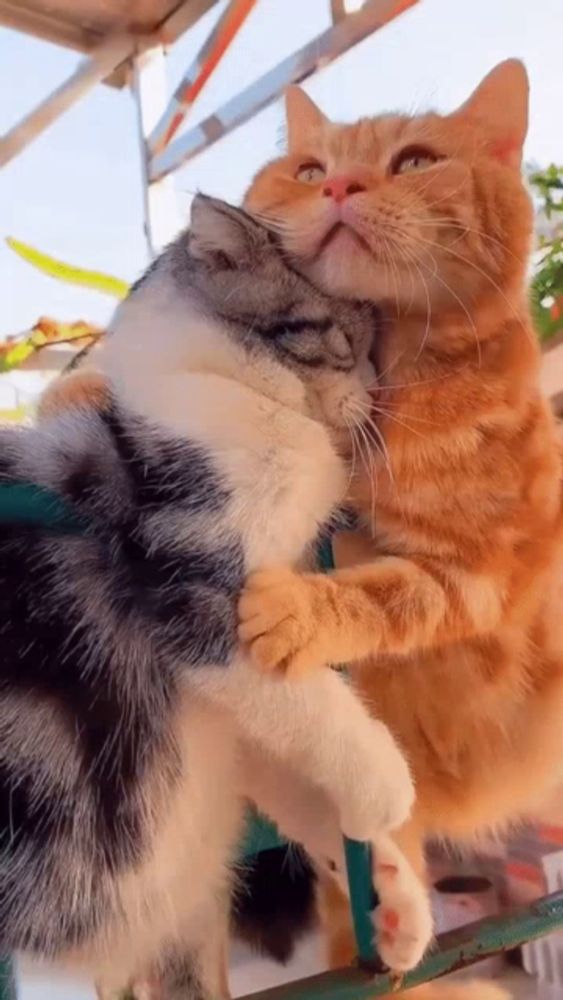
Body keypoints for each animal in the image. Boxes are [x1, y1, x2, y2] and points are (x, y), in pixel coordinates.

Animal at [0, 195, 418, 992]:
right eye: (347, 336)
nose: (382, 388)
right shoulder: (192, 584)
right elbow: (312, 704)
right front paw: (384, 784)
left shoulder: (233, 696)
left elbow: (282, 750)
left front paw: (391, 891)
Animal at [242, 58, 563, 996]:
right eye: (309, 169)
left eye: (415, 162)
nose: (340, 186)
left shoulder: (480, 576)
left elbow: (384, 593)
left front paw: (298, 608)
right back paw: (389, 902)